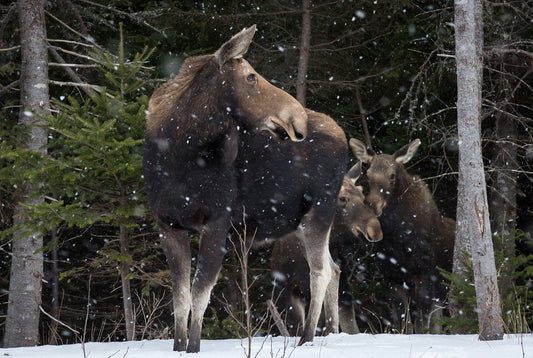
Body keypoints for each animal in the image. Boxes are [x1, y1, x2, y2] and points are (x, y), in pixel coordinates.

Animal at [142, 25, 350, 352]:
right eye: (251, 76)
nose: (298, 117)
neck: (178, 153)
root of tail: (342, 135)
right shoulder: (168, 224)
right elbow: (180, 297)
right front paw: (178, 346)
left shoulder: (217, 222)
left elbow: (200, 292)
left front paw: (194, 346)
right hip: (300, 223)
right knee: (335, 267)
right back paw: (329, 332)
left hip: (321, 211)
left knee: (321, 271)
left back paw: (306, 337)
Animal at [350, 138, 454, 332]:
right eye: (367, 174)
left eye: (392, 175)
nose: (373, 205)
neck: (398, 238)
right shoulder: (392, 277)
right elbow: (401, 321)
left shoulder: (423, 274)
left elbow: (421, 323)